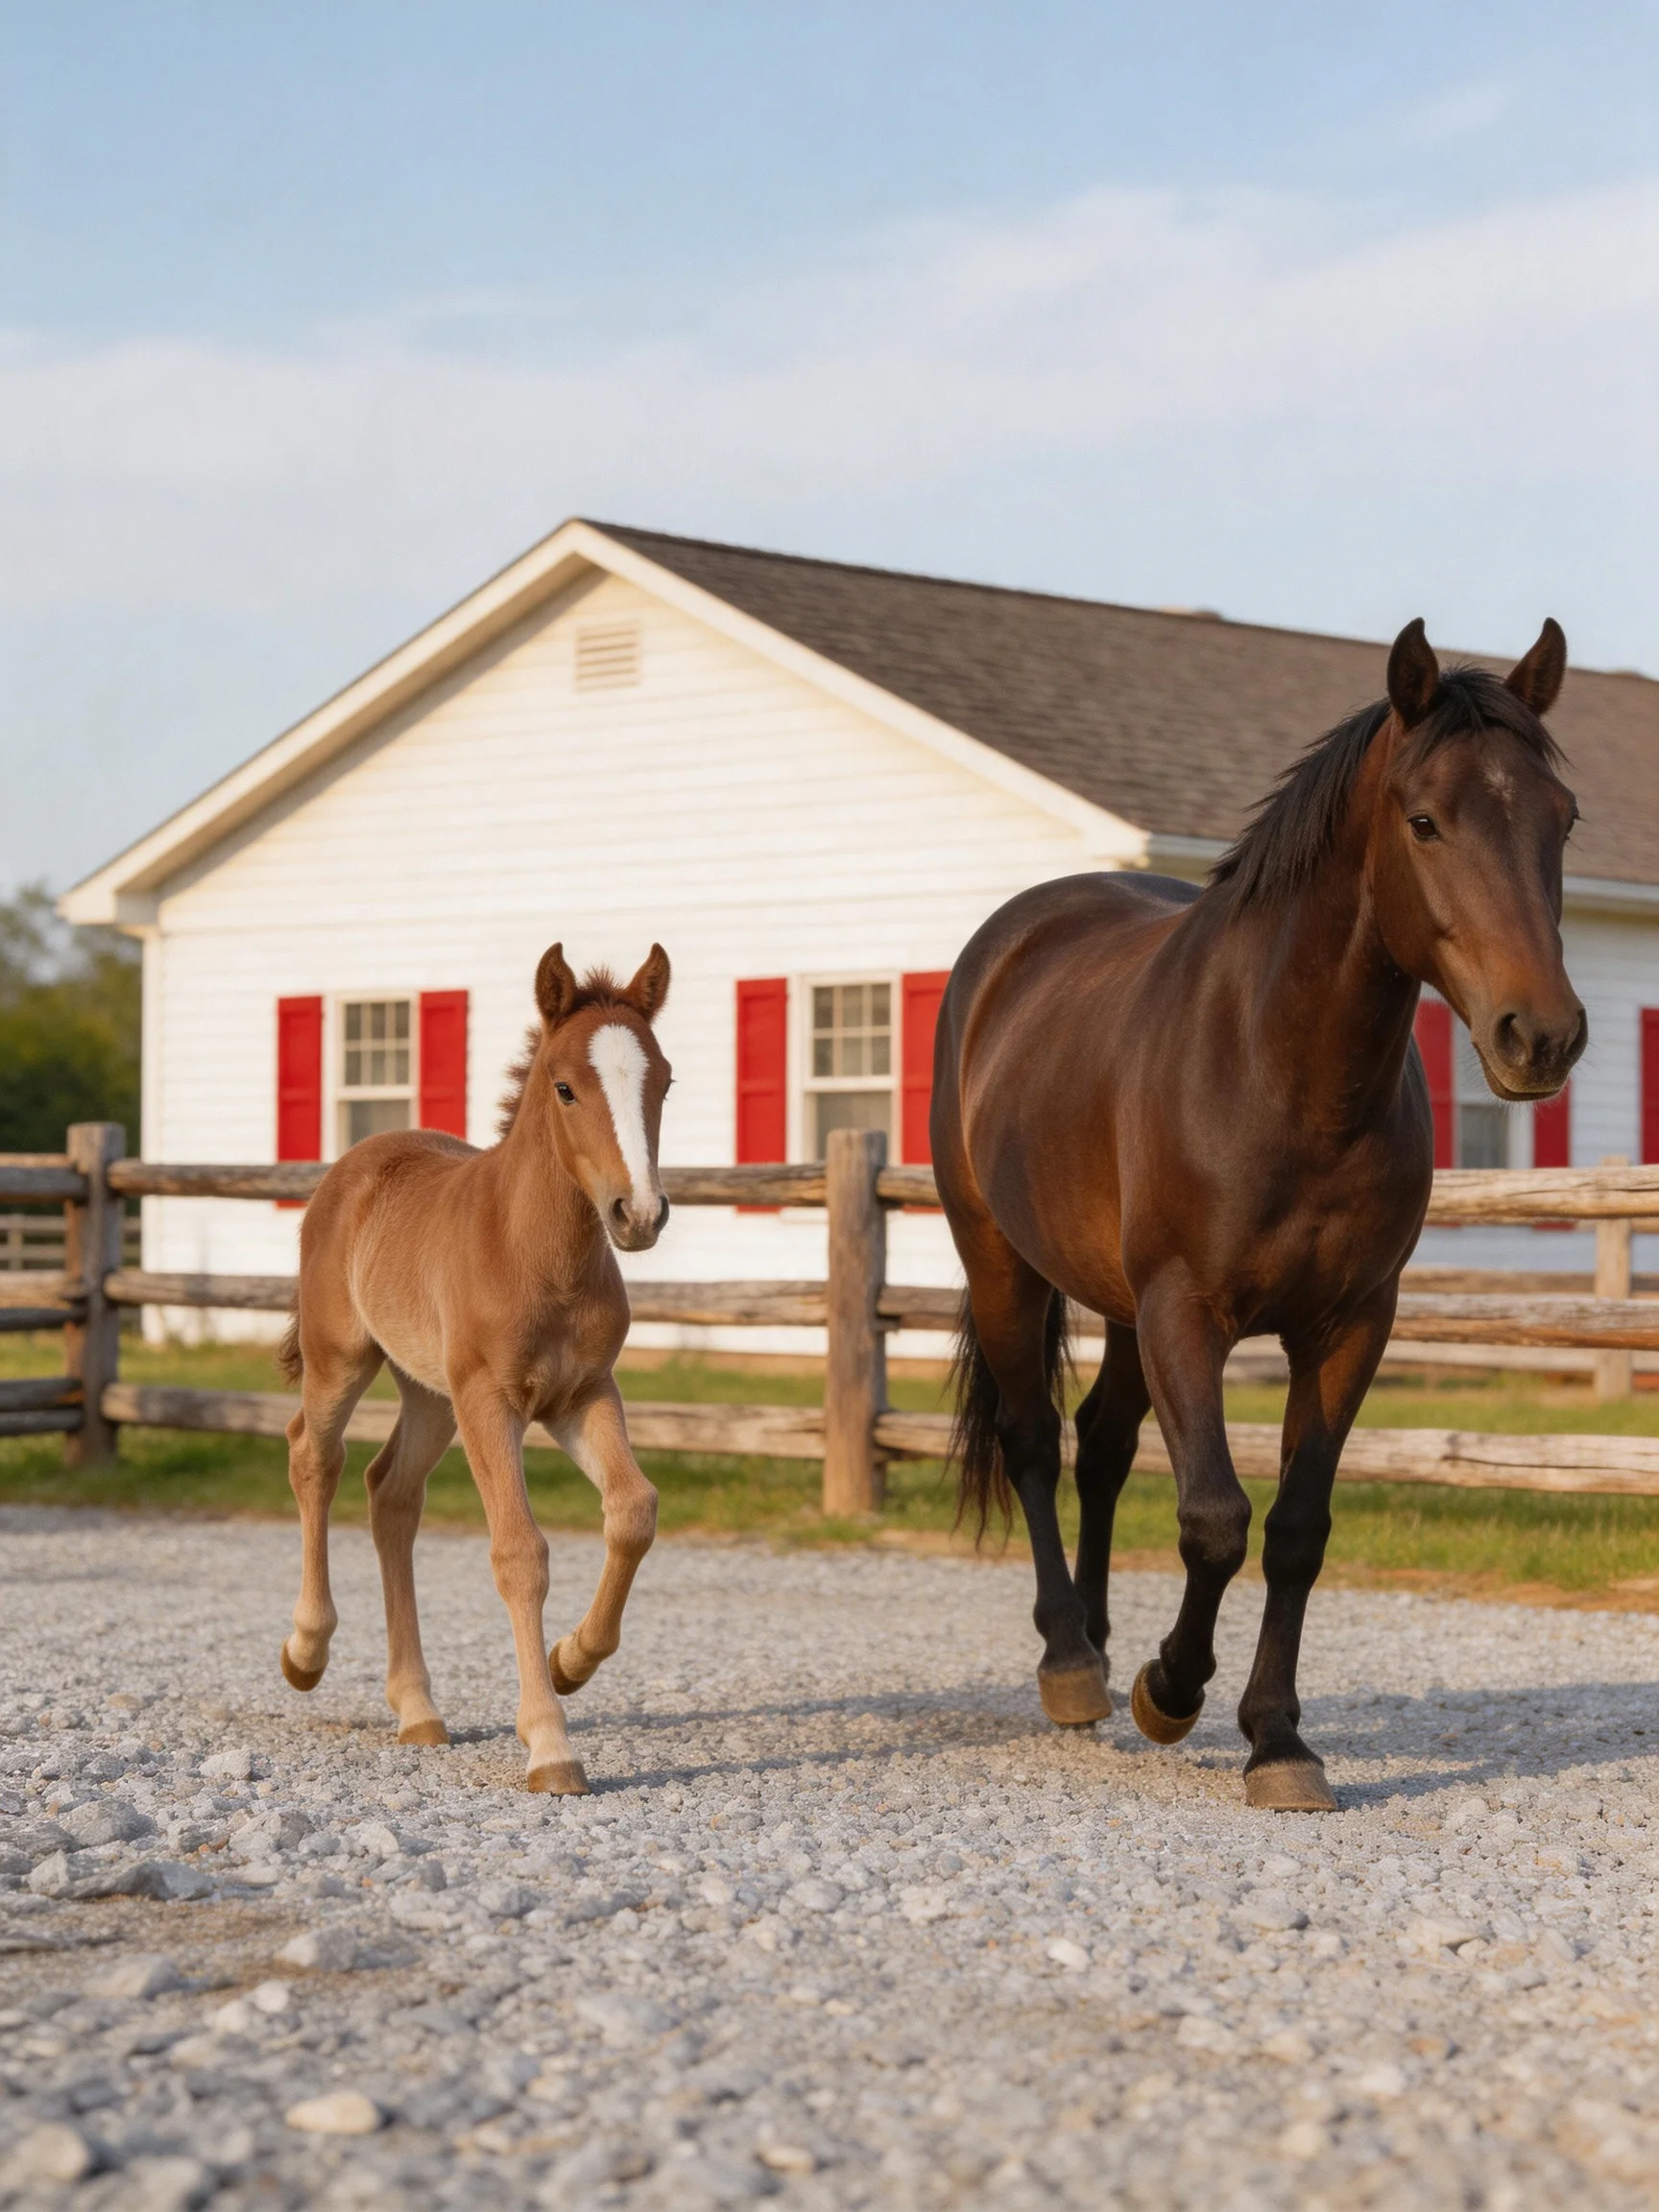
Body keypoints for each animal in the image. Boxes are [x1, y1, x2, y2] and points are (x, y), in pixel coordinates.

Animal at [276, 942, 673, 1794]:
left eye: (662, 1081)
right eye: (565, 1087)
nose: (638, 1214)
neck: (535, 1251)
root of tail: (356, 1163)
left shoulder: (583, 1394)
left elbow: (633, 1510)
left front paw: (570, 1661)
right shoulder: (492, 1400)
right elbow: (520, 1552)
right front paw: (550, 1745)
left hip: (430, 1392)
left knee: (391, 1493)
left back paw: (417, 1709)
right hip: (343, 1358)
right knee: (315, 1457)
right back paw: (306, 1651)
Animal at [932, 618, 1584, 1810]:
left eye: (1562, 819)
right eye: (1425, 820)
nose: (1542, 1036)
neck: (1281, 1073)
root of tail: (1010, 941)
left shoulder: (1350, 1326)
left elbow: (1294, 1530)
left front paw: (1277, 1738)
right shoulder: (1188, 1314)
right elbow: (1214, 1520)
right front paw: (1173, 1691)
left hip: (1121, 1308)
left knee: (1101, 1444)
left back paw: (1100, 1639)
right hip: (1004, 1262)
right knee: (1035, 1442)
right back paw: (1071, 1662)